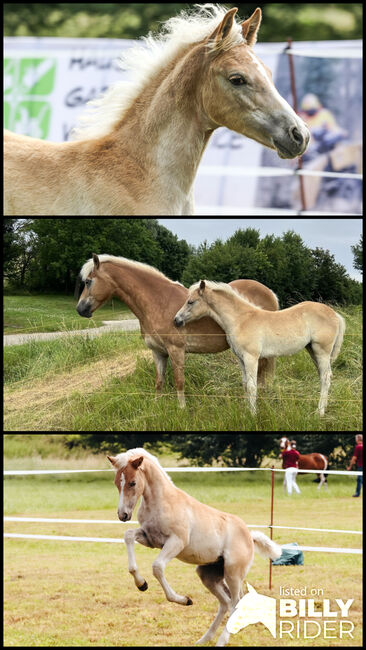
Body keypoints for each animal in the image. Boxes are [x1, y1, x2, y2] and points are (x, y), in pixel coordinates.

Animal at [76, 253, 278, 404]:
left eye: (88, 281)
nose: (80, 309)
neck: (158, 301)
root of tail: (269, 292)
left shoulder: (176, 350)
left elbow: (179, 382)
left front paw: (182, 410)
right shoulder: (158, 352)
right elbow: (159, 382)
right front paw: (156, 406)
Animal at [107, 448, 282, 644]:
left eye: (132, 482)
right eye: (116, 482)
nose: (123, 515)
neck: (163, 502)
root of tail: (250, 536)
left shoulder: (176, 542)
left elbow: (157, 567)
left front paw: (184, 600)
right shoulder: (150, 538)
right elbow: (128, 536)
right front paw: (141, 584)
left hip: (233, 574)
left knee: (236, 602)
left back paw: (221, 641)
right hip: (208, 575)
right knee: (225, 602)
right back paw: (204, 639)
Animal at [174, 280, 346, 416]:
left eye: (191, 301)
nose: (176, 320)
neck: (241, 319)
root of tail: (335, 315)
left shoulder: (251, 357)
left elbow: (252, 386)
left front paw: (253, 414)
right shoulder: (241, 359)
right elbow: (245, 384)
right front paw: (246, 411)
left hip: (322, 351)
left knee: (326, 377)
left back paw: (320, 412)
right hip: (312, 351)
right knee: (323, 376)